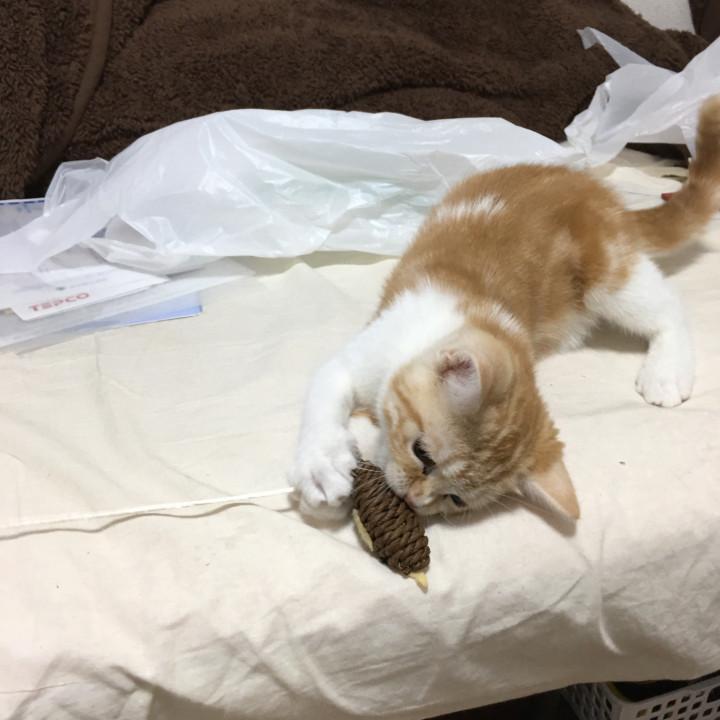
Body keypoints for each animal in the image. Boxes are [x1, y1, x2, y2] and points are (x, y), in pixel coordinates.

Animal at [290, 96, 720, 521]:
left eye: (455, 499)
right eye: (422, 453)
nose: (415, 500)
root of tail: (605, 198)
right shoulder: (362, 353)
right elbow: (325, 391)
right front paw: (322, 465)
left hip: (609, 277)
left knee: (668, 308)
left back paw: (667, 372)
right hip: (606, 275)